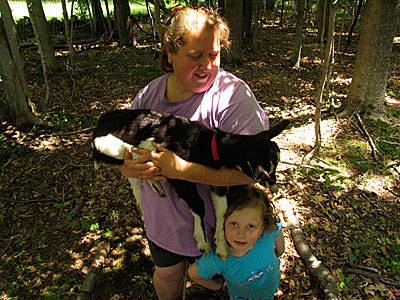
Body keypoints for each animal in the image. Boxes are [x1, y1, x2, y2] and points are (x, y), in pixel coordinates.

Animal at [92, 109, 290, 258]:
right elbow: (198, 205)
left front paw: (221, 247)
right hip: (109, 147)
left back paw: (156, 185)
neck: (206, 144)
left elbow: (222, 212)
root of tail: (99, 124)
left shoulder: (217, 183)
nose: (273, 183)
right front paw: (202, 242)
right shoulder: (178, 174)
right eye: (264, 168)